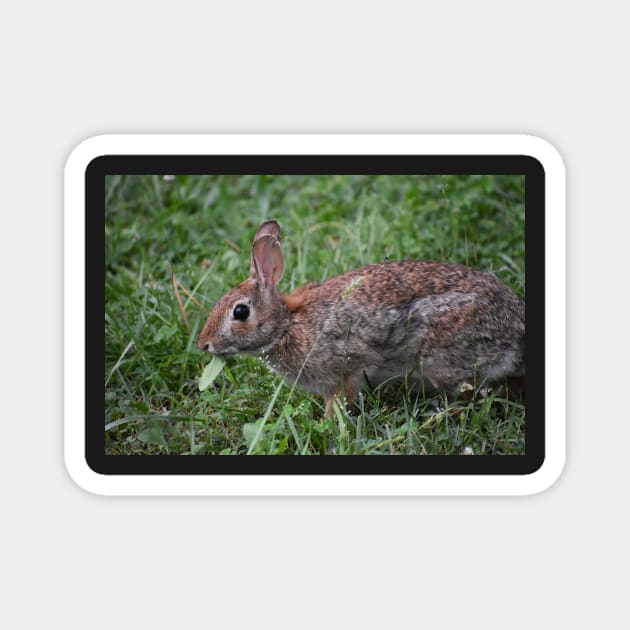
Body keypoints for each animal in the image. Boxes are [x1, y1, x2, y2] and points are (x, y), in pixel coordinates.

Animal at [200, 220, 524, 418]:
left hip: (444, 352)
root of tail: (517, 328)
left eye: (240, 312)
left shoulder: (344, 370)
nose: (204, 345)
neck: (286, 325)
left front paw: (328, 424)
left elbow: (341, 399)